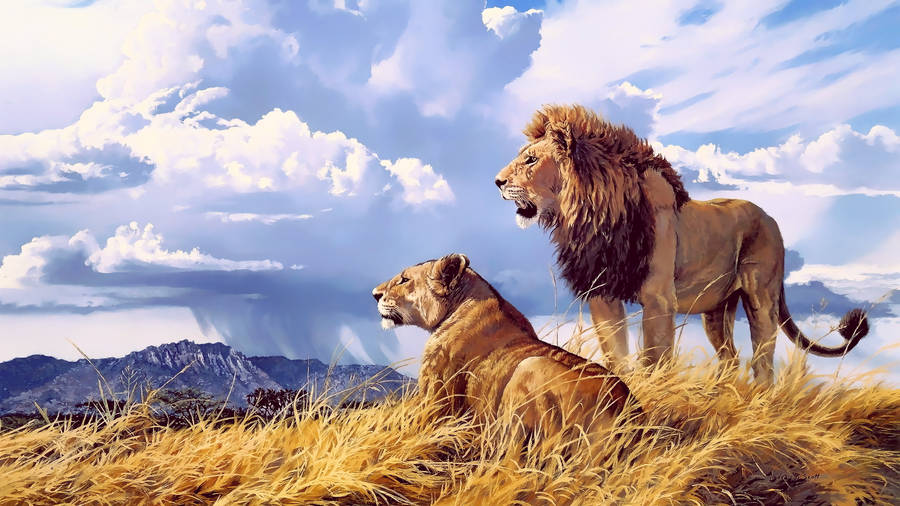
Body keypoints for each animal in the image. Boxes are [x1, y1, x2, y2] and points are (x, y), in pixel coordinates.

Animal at [494, 104, 869, 384]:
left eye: (530, 159)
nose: (497, 181)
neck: (592, 214)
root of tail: (770, 218)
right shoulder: (602, 294)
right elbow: (616, 355)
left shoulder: (659, 298)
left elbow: (654, 360)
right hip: (717, 308)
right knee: (731, 359)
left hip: (760, 297)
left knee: (762, 361)